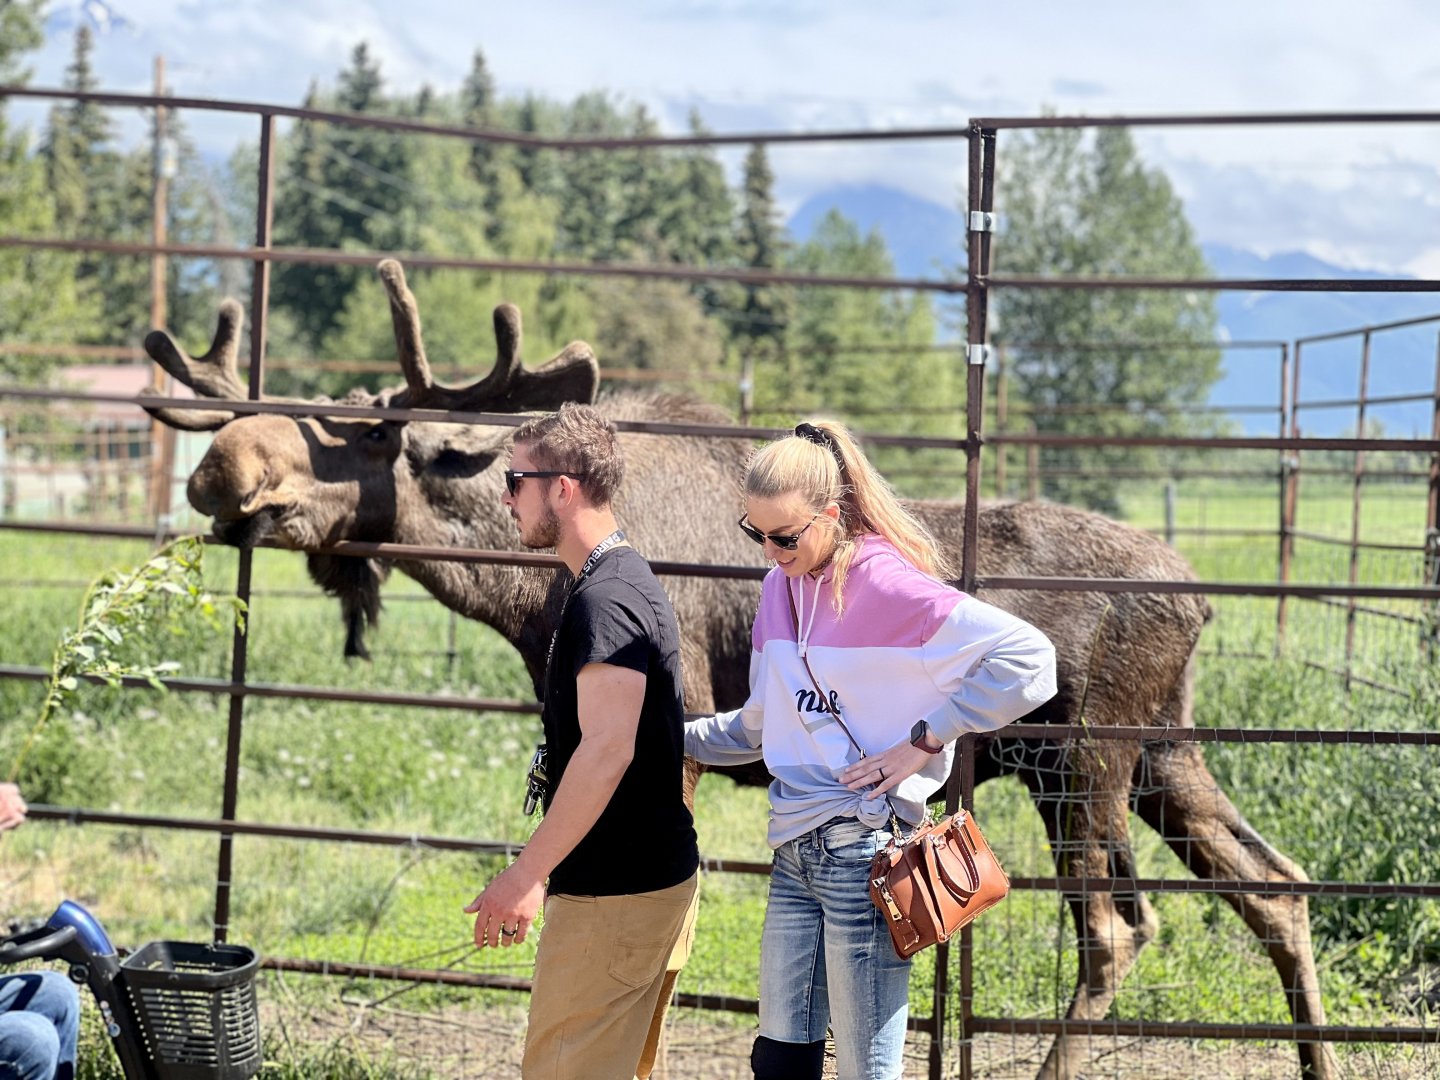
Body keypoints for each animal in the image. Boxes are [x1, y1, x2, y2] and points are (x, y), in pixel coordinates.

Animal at [140, 259, 1338, 1080]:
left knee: (1118, 929)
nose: (219, 470)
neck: (518, 596)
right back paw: (1319, 1054)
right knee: (1276, 883)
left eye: (362, 435)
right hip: (1166, 750)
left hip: (1081, 761)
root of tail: (1198, 595)